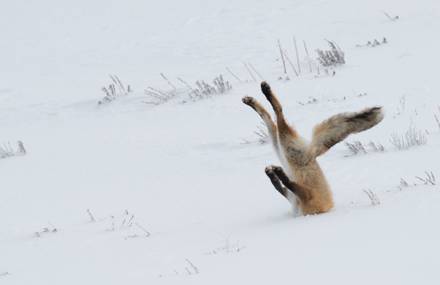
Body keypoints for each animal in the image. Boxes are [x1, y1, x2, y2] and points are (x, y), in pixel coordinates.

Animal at [242, 81, 384, 214]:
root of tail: (312, 152)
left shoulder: (306, 196)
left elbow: (287, 184)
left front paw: (277, 174)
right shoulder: (296, 197)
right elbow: (280, 186)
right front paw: (273, 174)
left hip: (285, 148)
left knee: (278, 114)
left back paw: (264, 92)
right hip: (281, 147)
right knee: (269, 118)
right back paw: (253, 100)